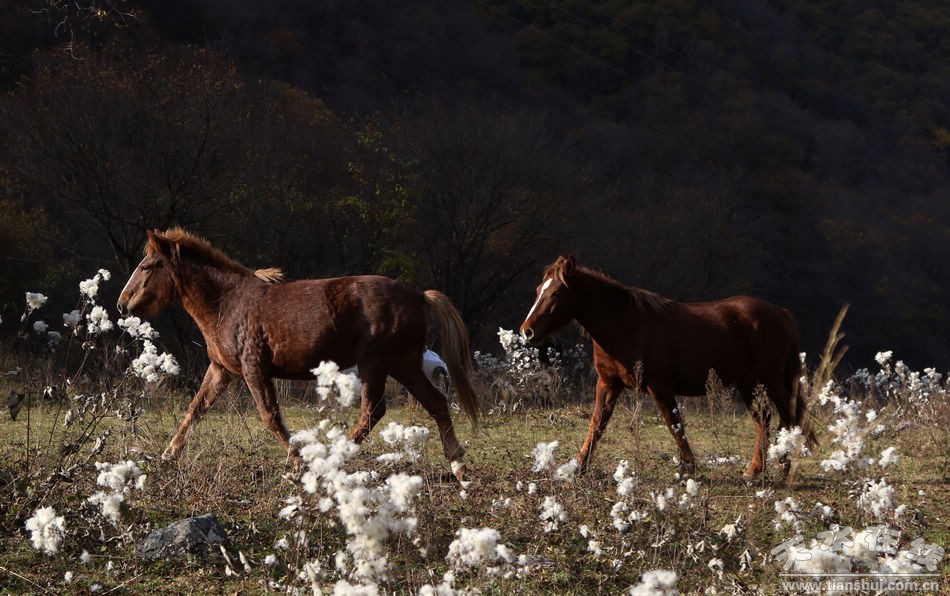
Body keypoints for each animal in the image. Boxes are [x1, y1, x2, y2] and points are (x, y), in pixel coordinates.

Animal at [117, 228, 481, 481]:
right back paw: (458, 464)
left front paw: (296, 464)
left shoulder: (254, 369)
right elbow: (195, 410)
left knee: (372, 412)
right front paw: (168, 456)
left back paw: (335, 458)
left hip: (377, 364)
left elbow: (271, 417)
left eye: (148, 266)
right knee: (436, 404)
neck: (228, 304)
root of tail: (417, 295)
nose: (122, 305)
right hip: (403, 364)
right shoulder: (221, 370)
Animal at [519, 255, 815, 480]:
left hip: (769, 380)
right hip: (748, 382)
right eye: (538, 290)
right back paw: (758, 469)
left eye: (556, 292)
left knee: (786, 418)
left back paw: (778, 467)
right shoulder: (608, 384)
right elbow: (597, 425)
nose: (527, 331)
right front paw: (578, 468)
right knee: (763, 419)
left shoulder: (659, 386)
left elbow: (674, 425)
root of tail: (782, 313)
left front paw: (689, 468)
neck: (625, 324)